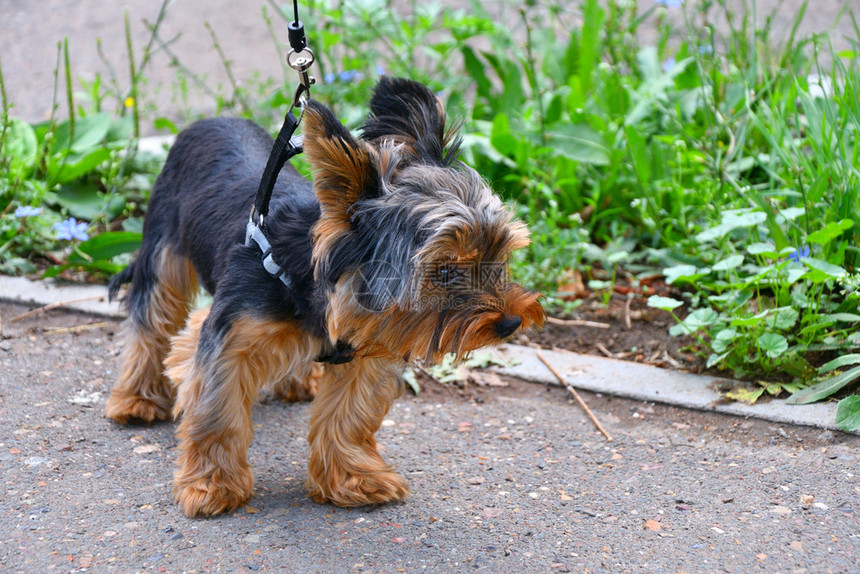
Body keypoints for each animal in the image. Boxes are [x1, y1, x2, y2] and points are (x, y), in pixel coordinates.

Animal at [104, 76, 540, 516]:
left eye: (500, 256)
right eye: (445, 271)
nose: (511, 322)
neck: (319, 286)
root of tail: (209, 120)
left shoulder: (368, 350)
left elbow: (349, 417)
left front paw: (352, 478)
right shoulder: (229, 338)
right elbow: (216, 411)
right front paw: (212, 485)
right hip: (162, 244)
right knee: (153, 316)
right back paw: (137, 399)